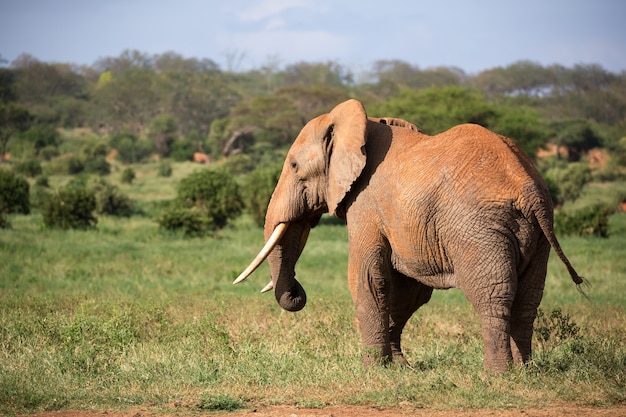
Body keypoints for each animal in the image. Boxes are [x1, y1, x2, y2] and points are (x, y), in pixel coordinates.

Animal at [233, 99, 580, 372]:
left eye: (293, 166)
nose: (297, 292)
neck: (362, 125)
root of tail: (528, 188)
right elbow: (408, 290)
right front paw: (400, 367)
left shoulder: (366, 204)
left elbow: (367, 277)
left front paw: (372, 369)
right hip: (537, 234)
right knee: (528, 299)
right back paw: (526, 371)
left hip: (478, 229)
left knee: (493, 295)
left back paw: (497, 375)